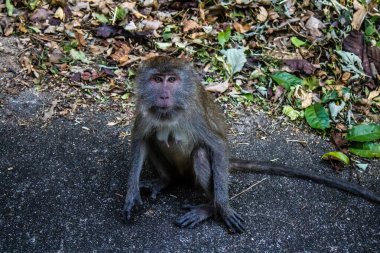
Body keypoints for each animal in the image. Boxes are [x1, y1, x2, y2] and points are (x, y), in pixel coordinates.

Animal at [123, 56, 378, 234]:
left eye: (172, 80)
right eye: (157, 80)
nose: (164, 95)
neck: (171, 112)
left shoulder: (195, 115)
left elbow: (218, 146)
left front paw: (223, 207)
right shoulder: (145, 112)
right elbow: (139, 140)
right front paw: (131, 194)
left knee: (202, 155)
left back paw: (209, 208)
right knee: (152, 141)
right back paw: (166, 180)